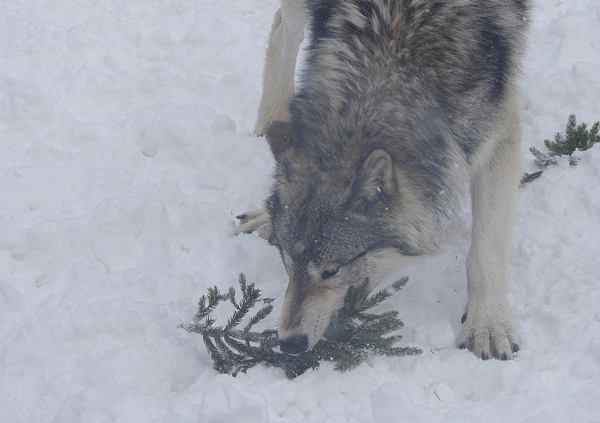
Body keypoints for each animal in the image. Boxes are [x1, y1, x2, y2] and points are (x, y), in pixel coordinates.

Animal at [237, 0, 528, 362]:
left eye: (331, 271)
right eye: (287, 265)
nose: (289, 343)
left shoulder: (497, 134)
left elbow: (485, 250)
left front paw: (487, 326)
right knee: (282, 31)